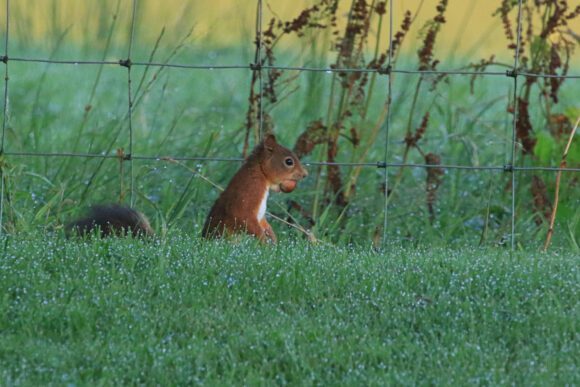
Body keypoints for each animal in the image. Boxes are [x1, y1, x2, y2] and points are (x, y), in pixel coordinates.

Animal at [65, 134, 306, 242]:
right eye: (289, 161)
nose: (305, 174)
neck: (261, 176)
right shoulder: (248, 195)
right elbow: (245, 218)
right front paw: (265, 242)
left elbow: (263, 221)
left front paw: (272, 237)